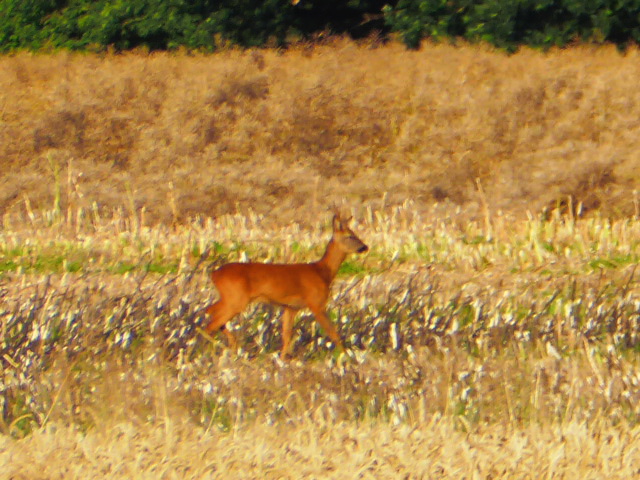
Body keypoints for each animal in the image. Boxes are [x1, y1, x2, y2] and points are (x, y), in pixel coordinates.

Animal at [202, 213, 368, 356]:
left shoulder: (290, 307)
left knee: (209, 312)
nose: (364, 247)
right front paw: (346, 356)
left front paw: (282, 360)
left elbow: (286, 336)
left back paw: (229, 346)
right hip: (236, 299)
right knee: (211, 323)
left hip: (230, 298)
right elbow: (334, 333)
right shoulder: (317, 303)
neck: (322, 272)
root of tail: (215, 274)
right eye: (350, 236)